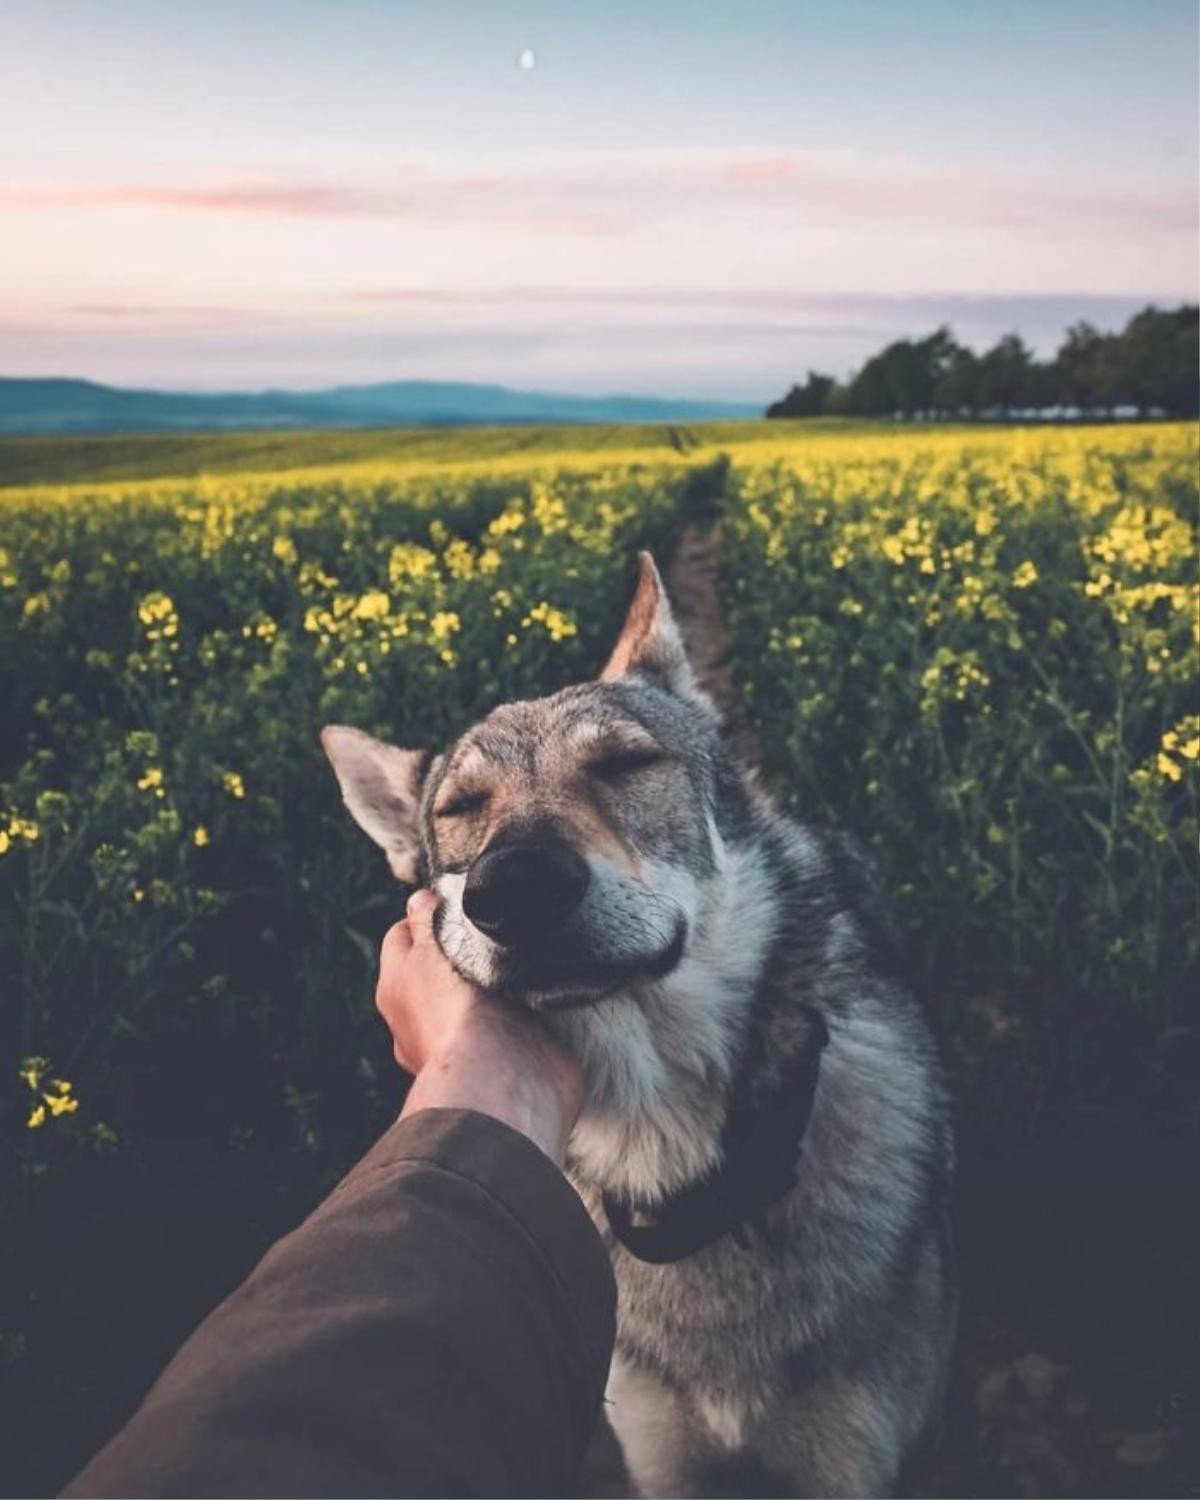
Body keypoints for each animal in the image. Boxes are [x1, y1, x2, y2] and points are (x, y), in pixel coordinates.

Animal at [321, 558, 954, 1494]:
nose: (511, 887)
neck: (680, 1171)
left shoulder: (854, 1463)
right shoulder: (662, 1460)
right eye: (462, 808)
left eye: (625, 763)